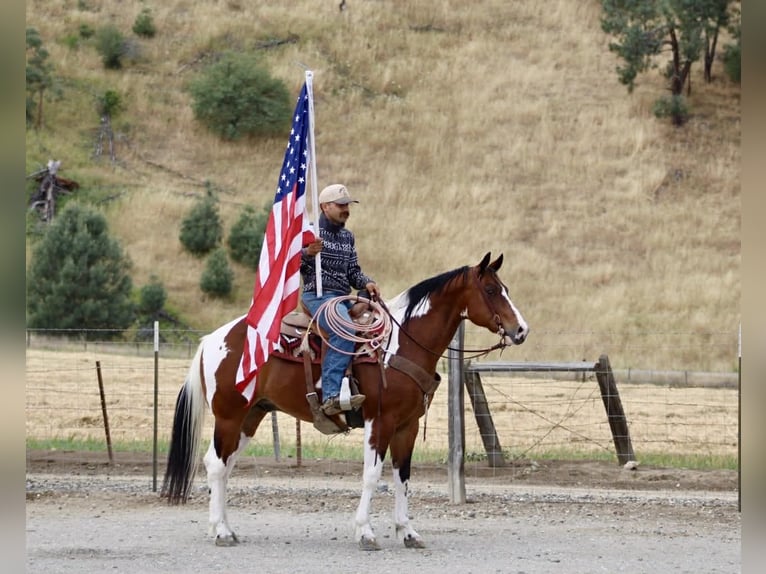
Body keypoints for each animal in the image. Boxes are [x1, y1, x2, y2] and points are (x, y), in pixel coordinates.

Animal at [161, 252, 528, 550]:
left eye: (507, 288)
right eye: (491, 290)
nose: (521, 330)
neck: (401, 343)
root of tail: (213, 339)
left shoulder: (408, 425)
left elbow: (402, 477)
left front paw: (407, 532)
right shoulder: (379, 420)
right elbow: (372, 475)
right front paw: (365, 533)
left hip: (251, 417)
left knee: (225, 467)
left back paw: (225, 528)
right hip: (229, 416)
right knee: (215, 465)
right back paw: (221, 532)